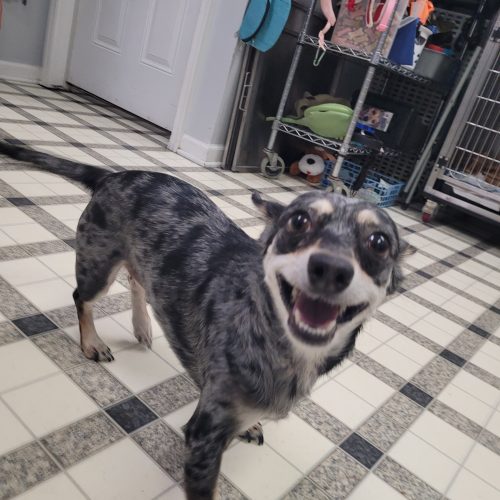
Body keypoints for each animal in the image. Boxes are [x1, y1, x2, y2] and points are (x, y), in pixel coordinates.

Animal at [0, 142, 409, 499]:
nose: (330, 268)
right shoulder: (203, 440)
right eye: (298, 221)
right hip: (98, 264)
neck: (276, 338)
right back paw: (92, 343)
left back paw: (142, 325)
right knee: (82, 298)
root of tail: (115, 175)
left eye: (379, 242)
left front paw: (252, 423)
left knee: (137, 280)